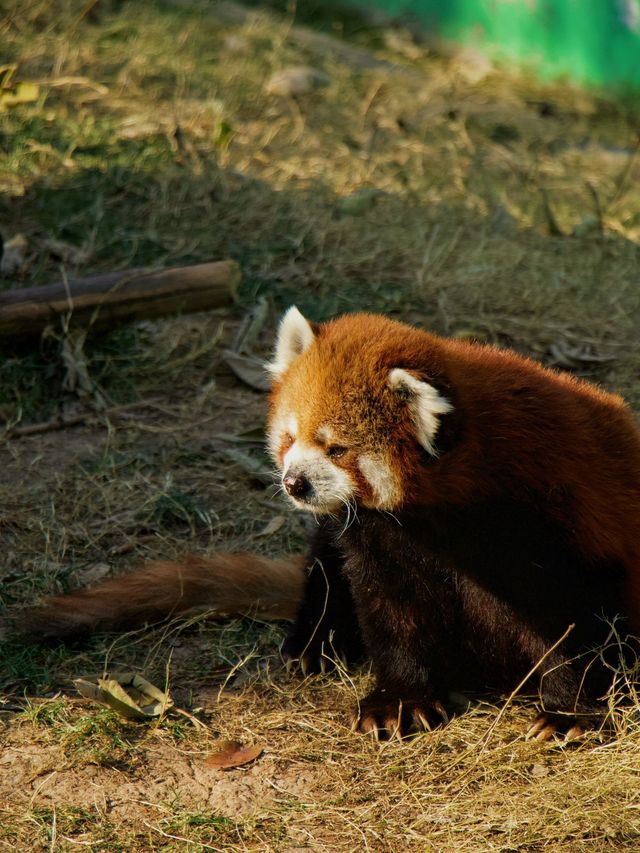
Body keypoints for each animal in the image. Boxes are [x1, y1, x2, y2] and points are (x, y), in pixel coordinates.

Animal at [22, 312, 640, 740]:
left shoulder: (544, 526)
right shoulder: (380, 536)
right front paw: (399, 700)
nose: (294, 482)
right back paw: (312, 645)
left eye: (336, 448)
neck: (443, 510)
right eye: (290, 437)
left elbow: (570, 625)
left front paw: (568, 712)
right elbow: (390, 611)